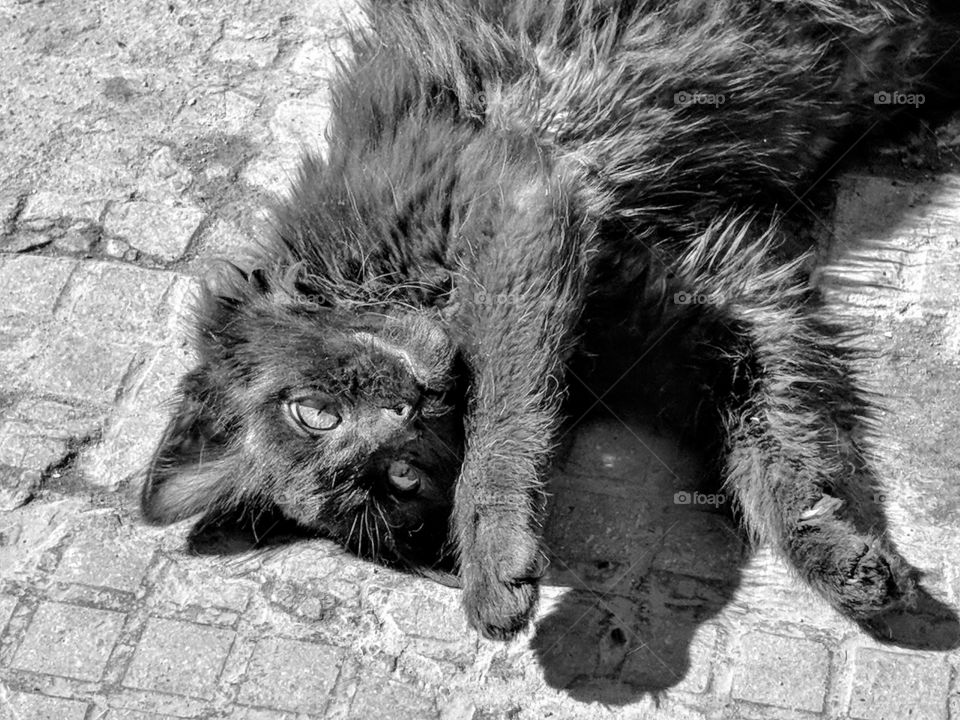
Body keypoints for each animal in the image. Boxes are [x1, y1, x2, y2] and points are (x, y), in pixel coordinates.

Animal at [141, 0, 960, 640]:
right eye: (403, 480)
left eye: (311, 412)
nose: (408, 411)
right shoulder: (716, 310)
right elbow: (781, 448)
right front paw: (839, 557)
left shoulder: (522, 205)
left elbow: (502, 423)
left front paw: (491, 554)